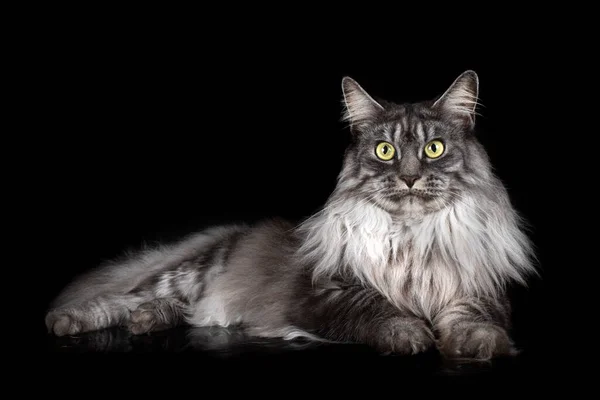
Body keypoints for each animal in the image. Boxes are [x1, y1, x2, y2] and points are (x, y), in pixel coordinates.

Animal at [44, 70, 536, 360]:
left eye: (434, 149)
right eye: (385, 151)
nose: (411, 177)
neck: (412, 238)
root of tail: (234, 231)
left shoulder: (476, 286)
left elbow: (471, 316)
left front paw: (478, 342)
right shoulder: (327, 292)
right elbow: (377, 306)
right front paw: (408, 334)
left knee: (173, 308)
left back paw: (151, 319)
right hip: (188, 273)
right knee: (120, 297)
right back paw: (71, 319)